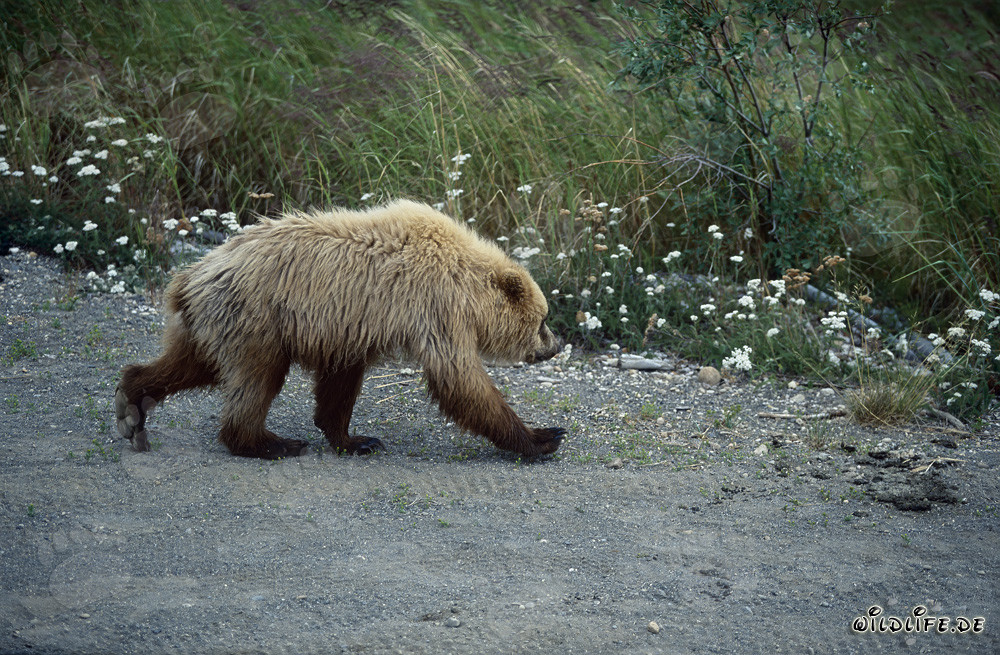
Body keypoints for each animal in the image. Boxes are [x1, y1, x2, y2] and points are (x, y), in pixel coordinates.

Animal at [114, 200, 565, 460]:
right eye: (543, 320)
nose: (556, 345)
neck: (468, 284)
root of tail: (190, 277)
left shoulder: (349, 324)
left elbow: (341, 381)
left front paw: (356, 439)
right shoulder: (436, 307)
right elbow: (460, 381)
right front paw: (543, 437)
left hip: (215, 323)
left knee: (189, 365)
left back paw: (132, 404)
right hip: (256, 319)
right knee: (257, 379)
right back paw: (270, 443)